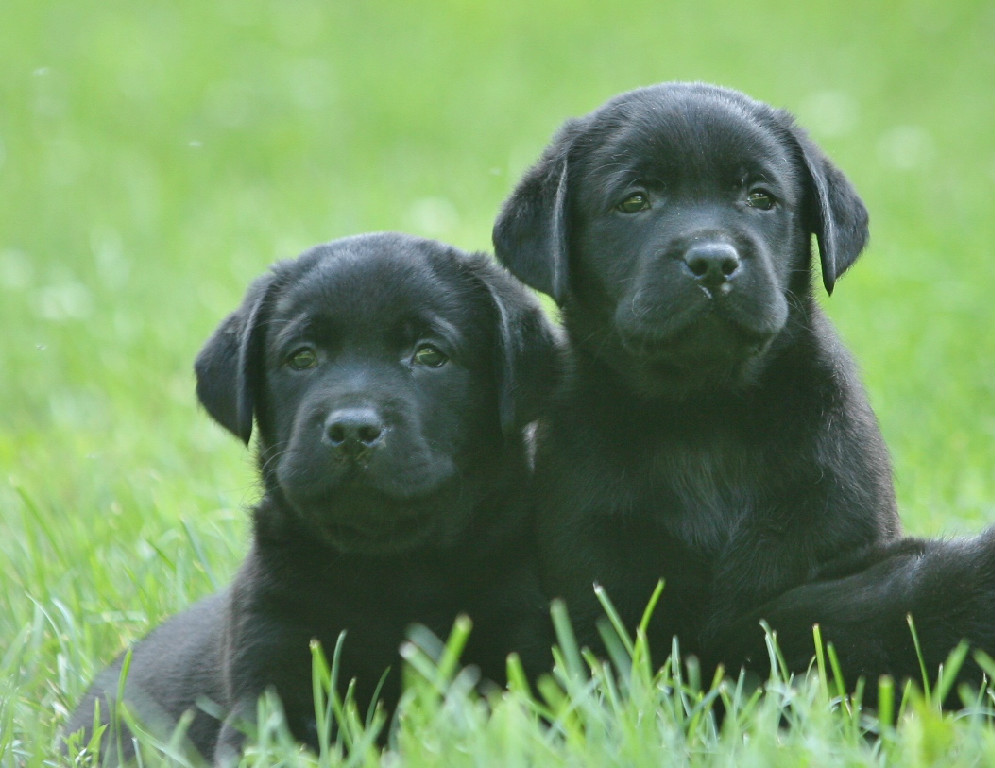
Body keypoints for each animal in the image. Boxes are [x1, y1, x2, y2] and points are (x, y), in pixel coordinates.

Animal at [64, 232, 560, 760]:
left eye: (429, 354)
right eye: (302, 357)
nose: (352, 430)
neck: (391, 567)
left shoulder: (523, 647)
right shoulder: (270, 670)